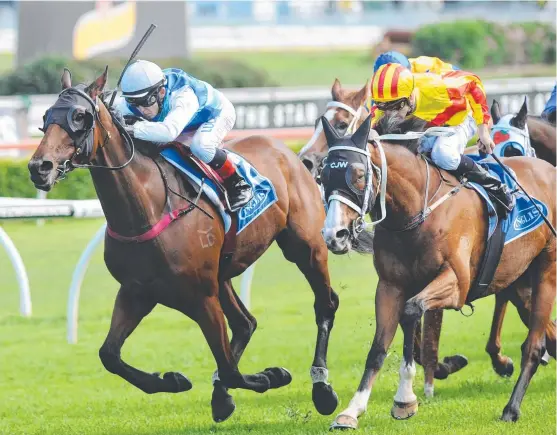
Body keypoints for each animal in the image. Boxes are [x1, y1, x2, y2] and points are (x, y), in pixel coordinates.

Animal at [28, 67, 340, 422]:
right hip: (222, 273)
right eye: (45, 116)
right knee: (245, 323)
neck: (148, 209)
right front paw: (173, 380)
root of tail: (287, 151)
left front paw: (271, 375)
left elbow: (231, 368)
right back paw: (221, 396)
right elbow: (109, 354)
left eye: (80, 116)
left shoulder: (201, 296)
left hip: (305, 247)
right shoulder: (136, 292)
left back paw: (322, 388)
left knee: (324, 304)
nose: (39, 167)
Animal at [320, 112, 552, 430]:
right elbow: (378, 348)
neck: (417, 211)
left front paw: (405, 399)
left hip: (546, 270)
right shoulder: (390, 286)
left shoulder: (456, 284)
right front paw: (351, 410)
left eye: (358, 174)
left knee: (533, 346)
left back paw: (511, 408)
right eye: (321, 176)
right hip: (517, 279)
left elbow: (411, 311)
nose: (335, 235)